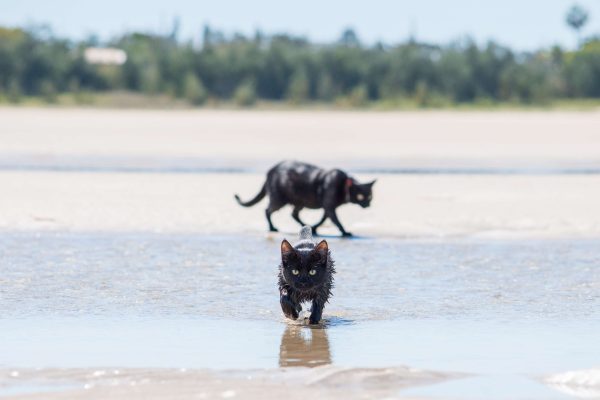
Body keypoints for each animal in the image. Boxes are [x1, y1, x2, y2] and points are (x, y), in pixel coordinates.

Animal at [234, 159, 376, 236]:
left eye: (369, 196)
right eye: (360, 196)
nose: (367, 204)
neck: (343, 185)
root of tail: (270, 171)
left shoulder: (327, 208)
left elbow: (323, 219)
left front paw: (316, 227)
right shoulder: (329, 206)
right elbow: (336, 221)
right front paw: (345, 232)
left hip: (299, 201)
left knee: (293, 214)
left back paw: (306, 227)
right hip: (279, 199)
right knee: (267, 210)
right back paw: (272, 228)